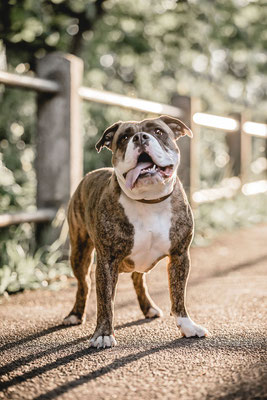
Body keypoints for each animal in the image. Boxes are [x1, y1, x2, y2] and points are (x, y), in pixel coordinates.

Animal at [64, 115, 209, 346]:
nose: (140, 137)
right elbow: (105, 302)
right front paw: (103, 334)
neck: (148, 200)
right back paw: (75, 314)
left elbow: (178, 295)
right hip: (79, 251)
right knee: (83, 283)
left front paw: (187, 326)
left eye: (158, 132)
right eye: (124, 137)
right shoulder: (107, 261)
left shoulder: (179, 256)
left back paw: (148, 308)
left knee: (138, 280)